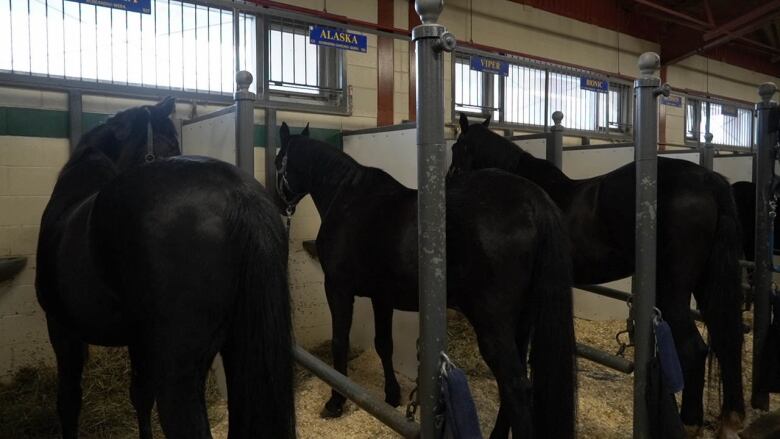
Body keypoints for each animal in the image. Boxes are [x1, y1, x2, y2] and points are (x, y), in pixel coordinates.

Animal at [35, 99, 296, 439]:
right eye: (172, 144)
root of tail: (238, 194)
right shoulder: (138, 339)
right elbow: (140, 396)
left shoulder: (61, 328)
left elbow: (69, 399)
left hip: (178, 374)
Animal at [278, 122, 576, 438]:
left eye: (277, 160)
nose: (280, 203)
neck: (347, 197)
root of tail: (536, 202)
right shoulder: (381, 296)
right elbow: (384, 343)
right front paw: (392, 395)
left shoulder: (337, 288)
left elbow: (339, 342)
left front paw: (336, 402)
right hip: (522, 324)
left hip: (493, 325)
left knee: (515, 387)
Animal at [450, 115, 744, 438]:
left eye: (455, 148)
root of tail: (708, 181)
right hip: (706, 283)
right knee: (727, 338)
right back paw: (730, 421)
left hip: (673, 290)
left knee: (694, 348)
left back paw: (690, 423)